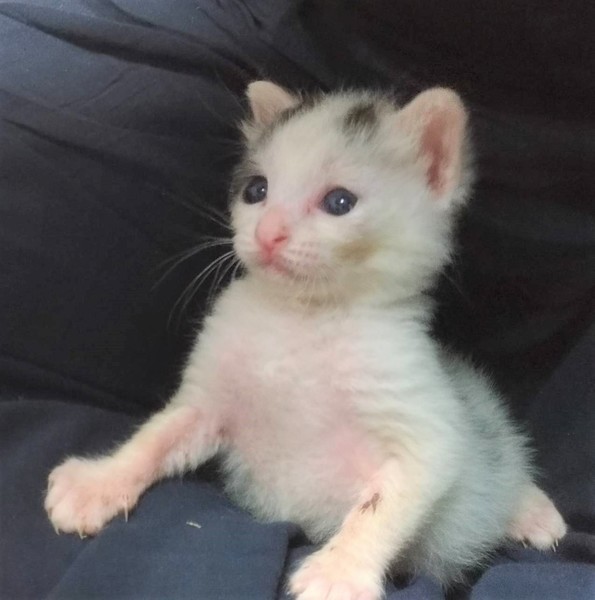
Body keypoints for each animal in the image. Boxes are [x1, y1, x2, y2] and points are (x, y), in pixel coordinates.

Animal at [45, 81, 567, 599]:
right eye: (256, 190)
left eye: (339, 202)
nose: (268, 232)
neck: (302, 319)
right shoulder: (207, 396)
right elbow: (158, 435)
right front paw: (98, 483)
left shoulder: (426, 425)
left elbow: (384, 503)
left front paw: (339, 572)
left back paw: (532, 510)